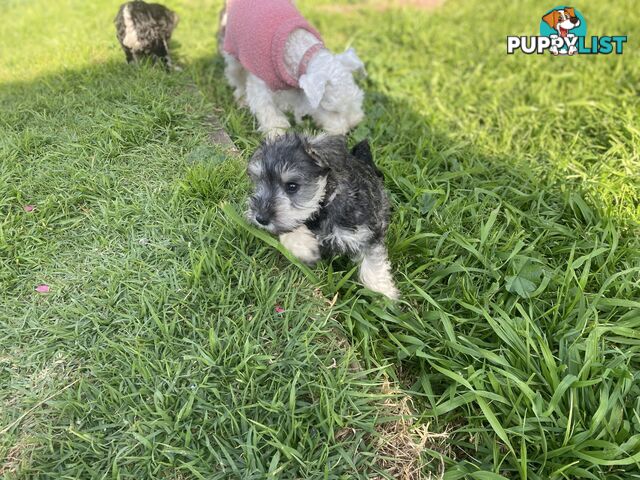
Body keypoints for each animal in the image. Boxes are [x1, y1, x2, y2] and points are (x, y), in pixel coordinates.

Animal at [220, 0, 364, 139]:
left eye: (358, 99)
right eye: (333, 111)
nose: (351, 129)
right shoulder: (260, 86)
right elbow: (267, 110)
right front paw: (276, 132)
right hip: (232, 53)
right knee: (236, 76)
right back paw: (242, 98)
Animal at [248, 133, 398, 298]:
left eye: (292, 186)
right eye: (259, 181)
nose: (260, 218)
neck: (324, 206)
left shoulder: (368, 235)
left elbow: (373, 263)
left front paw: (383, 293)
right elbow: (291, 228)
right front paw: (305, 248)